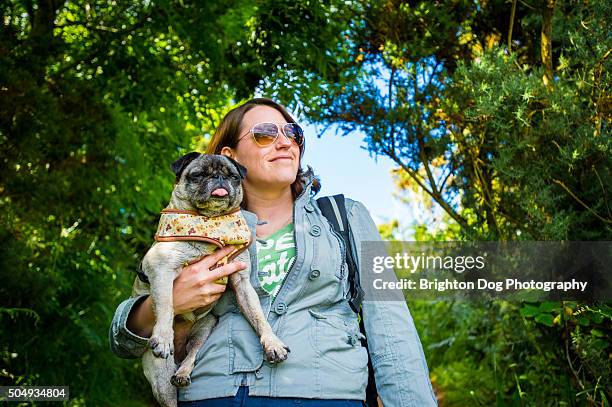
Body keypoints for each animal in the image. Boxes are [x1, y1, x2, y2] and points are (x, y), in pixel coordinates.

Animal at [136, 154, 292, 407]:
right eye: (198, 175)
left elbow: (259, 317)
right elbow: (166, 305)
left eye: (233, 176)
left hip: (204, 329)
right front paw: (163, 336)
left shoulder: (242, 282)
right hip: (161, 381)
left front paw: (273, 343)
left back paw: (182, 373)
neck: (211, 224)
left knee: (192, 353)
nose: (219, 178)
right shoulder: (161, 268)